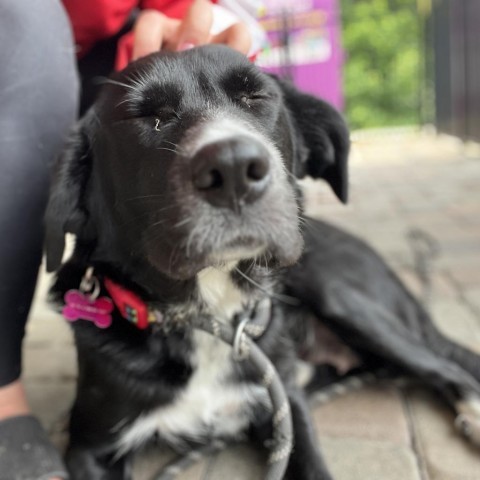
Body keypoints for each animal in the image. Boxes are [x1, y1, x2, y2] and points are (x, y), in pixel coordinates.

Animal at [45, 45, 480, 480]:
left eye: (256, 97)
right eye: (147, 117)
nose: (234, 167)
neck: (210, 316)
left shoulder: (287, 406)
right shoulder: (88, 448)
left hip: (339, 295)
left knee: (447, 366)